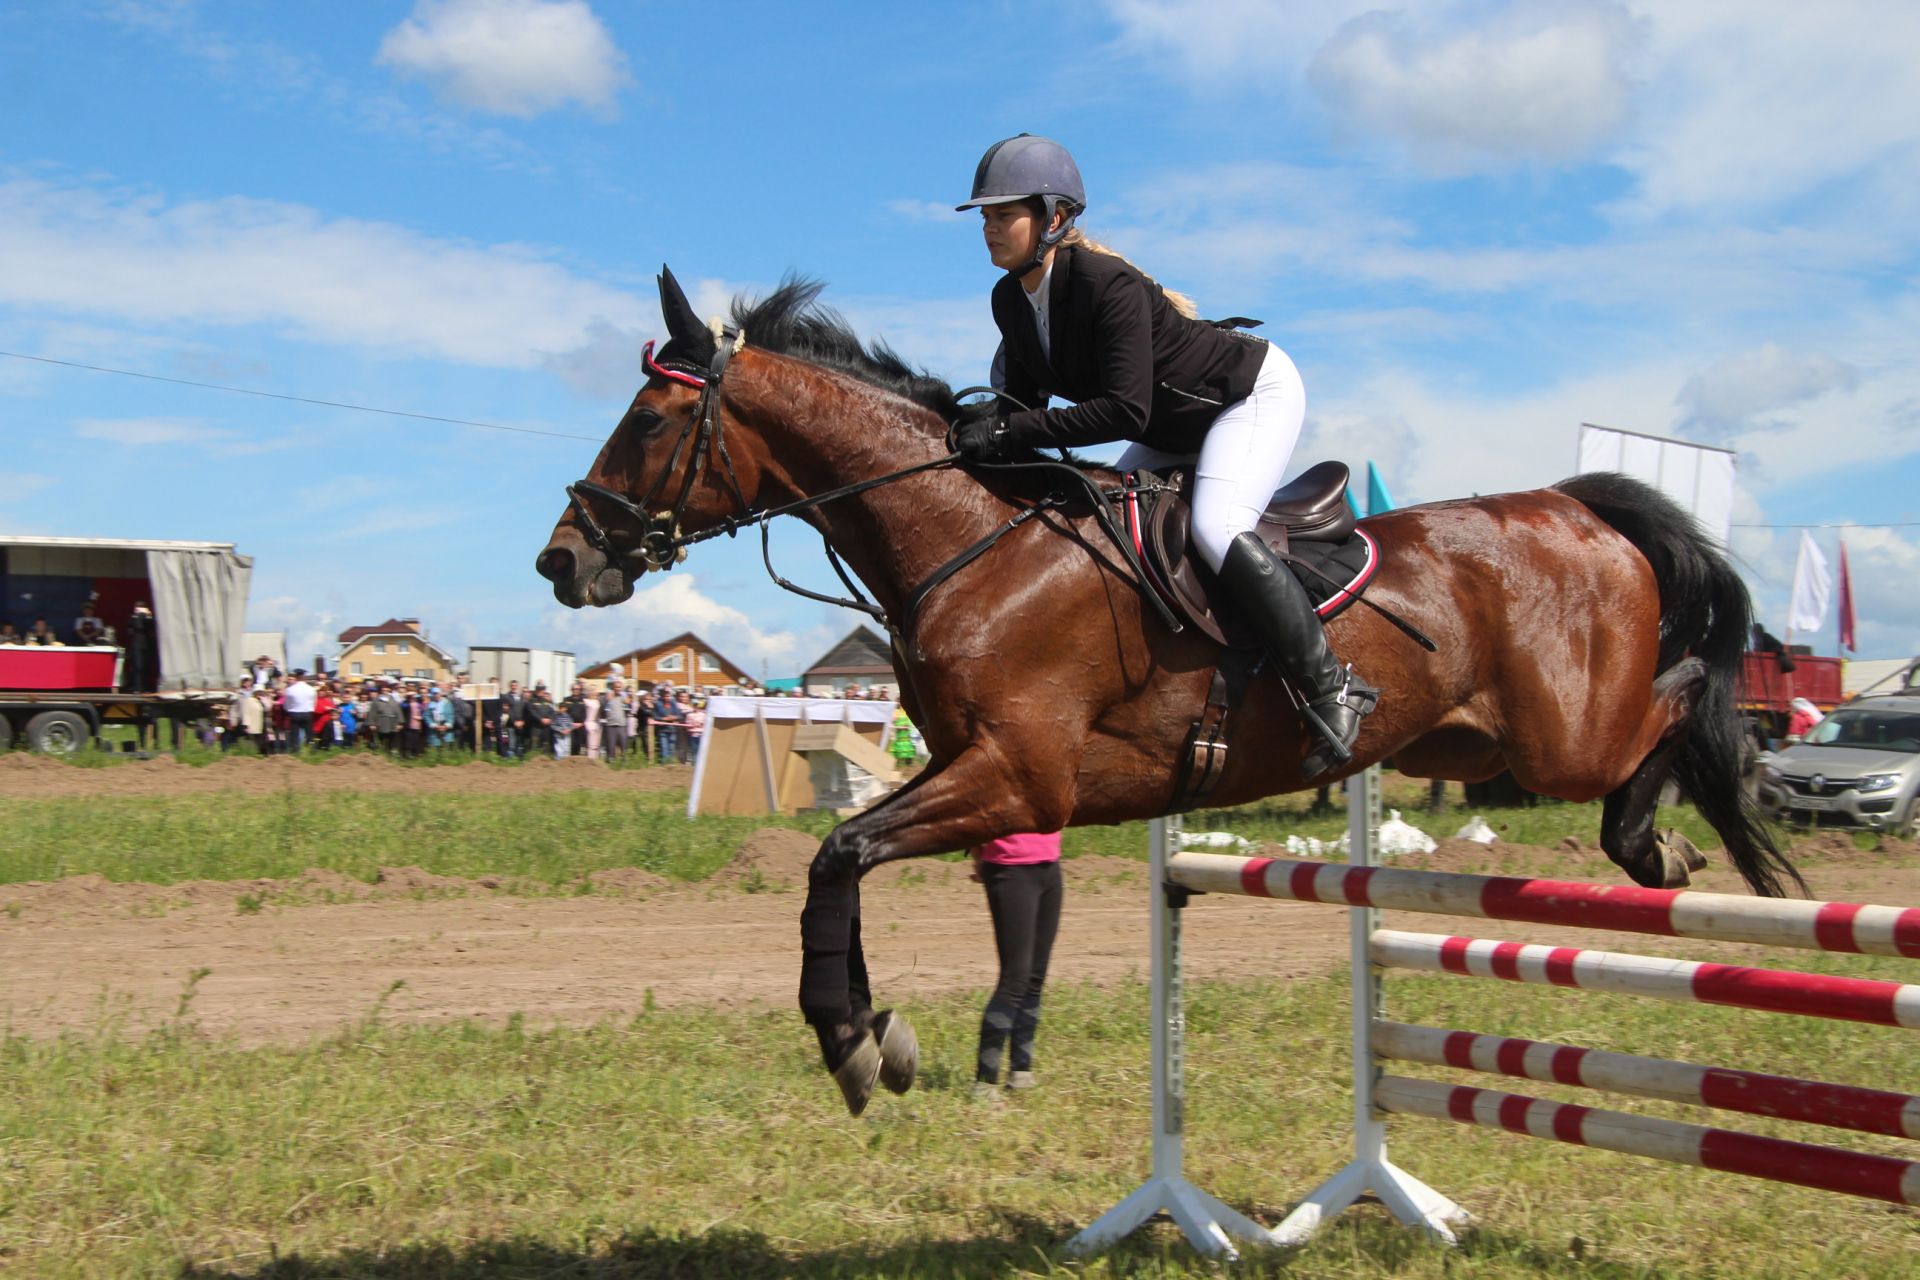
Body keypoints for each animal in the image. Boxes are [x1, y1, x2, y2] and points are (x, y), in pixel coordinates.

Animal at [537, 268, 1797, 1113]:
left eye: (650, 418)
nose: (563, 561)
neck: (973, 540)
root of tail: (1578, 506)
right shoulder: (969, 768)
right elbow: (836, 857)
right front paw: (872, 1037)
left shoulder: (1020, 778)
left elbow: (840, 852)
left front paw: (853, 1036)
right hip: (1466, 744)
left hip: (1562, 736)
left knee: (1686, 698)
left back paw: (1672, 839)